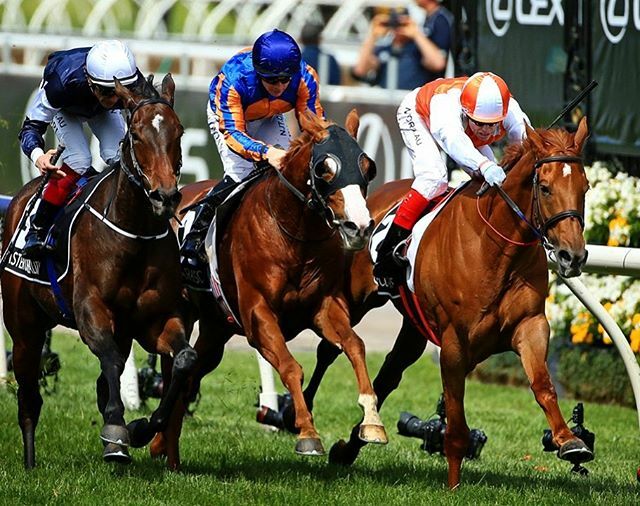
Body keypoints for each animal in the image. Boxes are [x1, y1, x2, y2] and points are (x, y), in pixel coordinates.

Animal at [0, 73, 198, 468]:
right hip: (24, 328)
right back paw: (29, 463)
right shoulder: (91, 310)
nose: (165, 196)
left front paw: (140, 428)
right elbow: (110, 360)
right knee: (29, 398)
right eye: (135, 134)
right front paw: (116, 433)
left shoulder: (155, 319)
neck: (133, 231)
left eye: (179, 131)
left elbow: (184, 359)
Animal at [152, 108, 388, 468]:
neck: (293, 234)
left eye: (368, 166)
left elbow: (355, 345)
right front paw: (307, 433)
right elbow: (291, 367)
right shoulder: (257, 315)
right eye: (324, 168)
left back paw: (164, 449)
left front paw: (372, 421)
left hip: (216, 328)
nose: (359, 227)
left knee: (191, 373)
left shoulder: (324, 307)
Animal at [304, 116, 592, 488]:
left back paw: (353, 443)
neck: (497, 248)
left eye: (585, 188)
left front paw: (570, 441)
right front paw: (453, 486)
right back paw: (296, 412)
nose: (573, 256)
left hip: (413, 327)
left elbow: (543, 385)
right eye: (544, 188)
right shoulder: (454, 342)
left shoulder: (530, 325)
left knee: (389, 374)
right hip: (354, 297)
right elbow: (455, 421)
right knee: (331, 348)